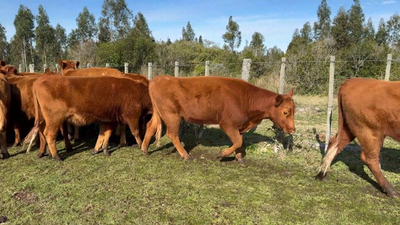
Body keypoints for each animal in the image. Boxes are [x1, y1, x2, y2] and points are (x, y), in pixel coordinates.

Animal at [142, 75, 296, 162]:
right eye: (285, 112)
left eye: (294, 110)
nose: (293, 130)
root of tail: (158, 78)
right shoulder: (227, 124)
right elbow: (238, 141)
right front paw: (223, 154)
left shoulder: (240, 126)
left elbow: (240, 141)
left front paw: (239, 158)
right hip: (172, 115)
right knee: (172, 134)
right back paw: (185, 155)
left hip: (160, 114)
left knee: (150, 126)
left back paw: (145, 150)